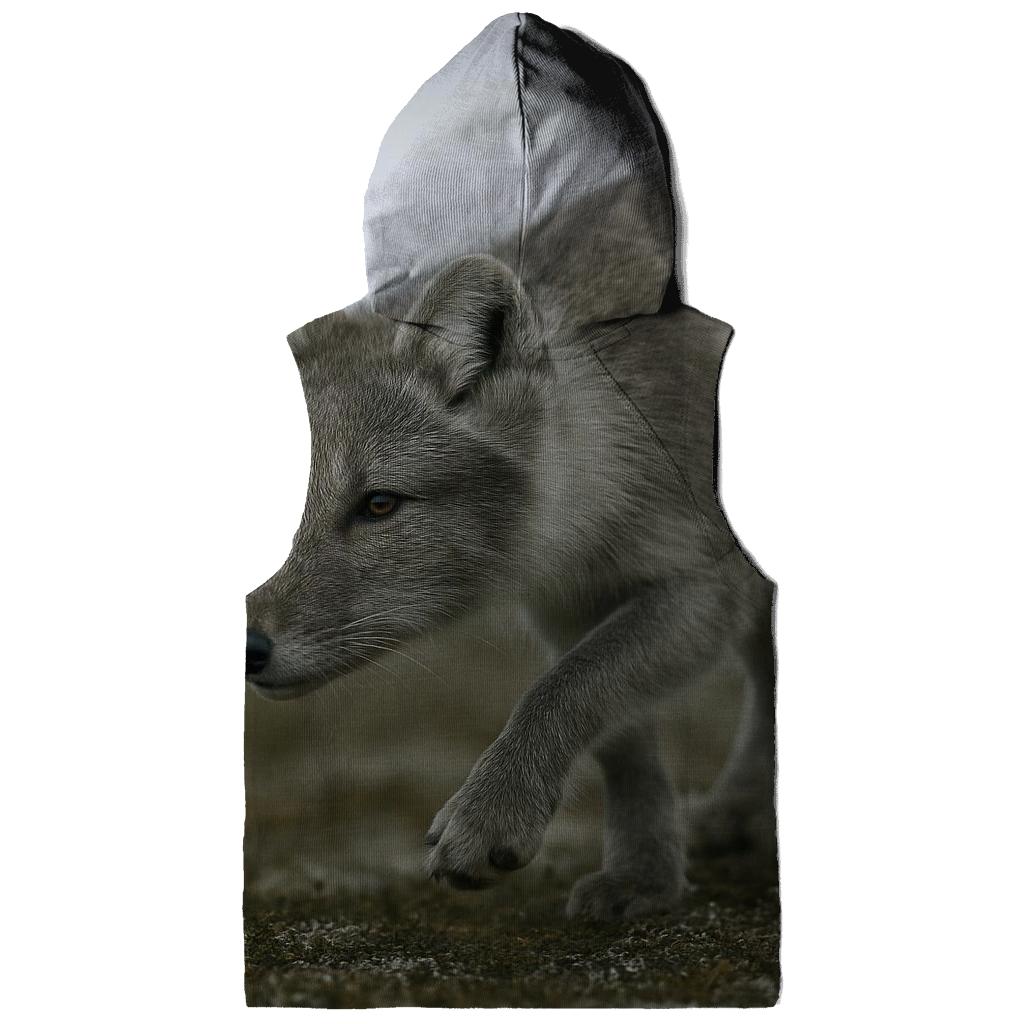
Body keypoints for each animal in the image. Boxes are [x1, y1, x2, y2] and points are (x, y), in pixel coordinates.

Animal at [245, 253, 777, 920]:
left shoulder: (703, 586)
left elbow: (563, 689)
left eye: (379, 504)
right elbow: (619, 739)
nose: (248, 648)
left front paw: (493, 814)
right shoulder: (567, 605)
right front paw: (644, 874)